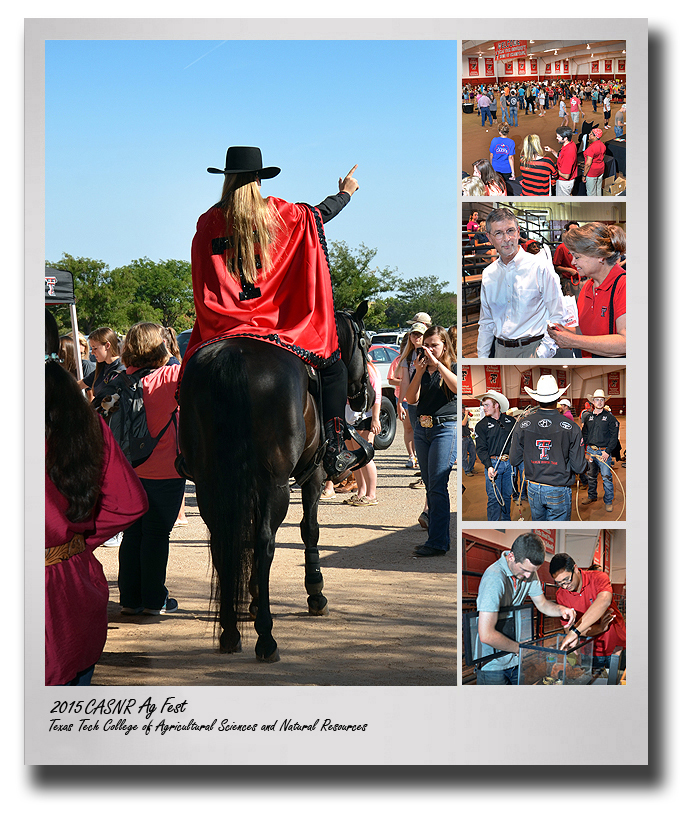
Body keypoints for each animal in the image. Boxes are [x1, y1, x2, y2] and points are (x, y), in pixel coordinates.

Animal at [179, 302, 372, 668]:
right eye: (366, 342)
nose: (364, 394)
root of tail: (234, 357)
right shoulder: (313, 474)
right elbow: (309, 529)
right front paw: (315, 591)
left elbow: (245, 541)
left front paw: (253, 598)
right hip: (276, 485)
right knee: (266, 542)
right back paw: (266, 638)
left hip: (211, 486)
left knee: (223, 542)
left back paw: (230, 631)